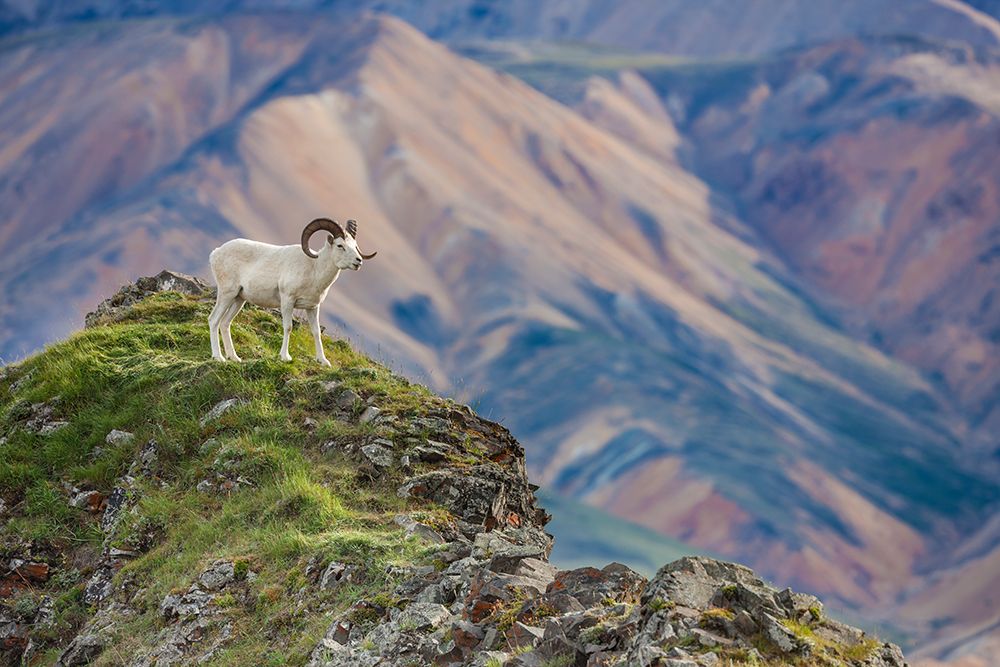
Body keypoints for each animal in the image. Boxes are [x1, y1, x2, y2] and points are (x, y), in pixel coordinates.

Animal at [208, 218, 376, 366]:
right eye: (340, 245)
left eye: (355, 245)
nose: (358, 261)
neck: (314, 270)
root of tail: (216, 253)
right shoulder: (288, 301)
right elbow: (288, 327)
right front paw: (285, 357)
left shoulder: (313, 308)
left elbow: (316, 332)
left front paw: (323, 361)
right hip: (227, 294)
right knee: (214, 320)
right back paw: (218, 357)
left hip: (238, 299)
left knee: (225, 323)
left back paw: (234, 357)